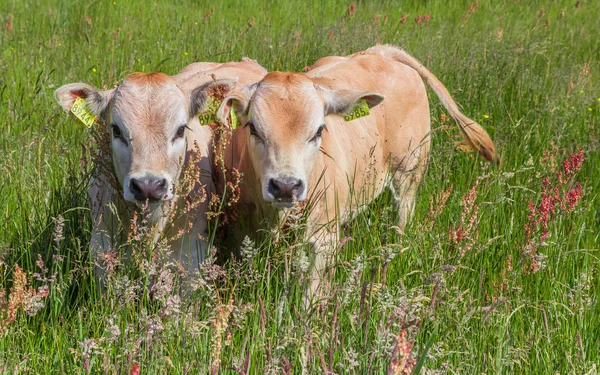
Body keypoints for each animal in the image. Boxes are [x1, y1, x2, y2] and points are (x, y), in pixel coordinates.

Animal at [218, 44, 500, 294]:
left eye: (319, 130)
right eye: (253, 128)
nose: (286, 187)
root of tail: (381, 52)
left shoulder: (323, 238)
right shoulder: (241, 232)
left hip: (408, 174)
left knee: (402, 218)